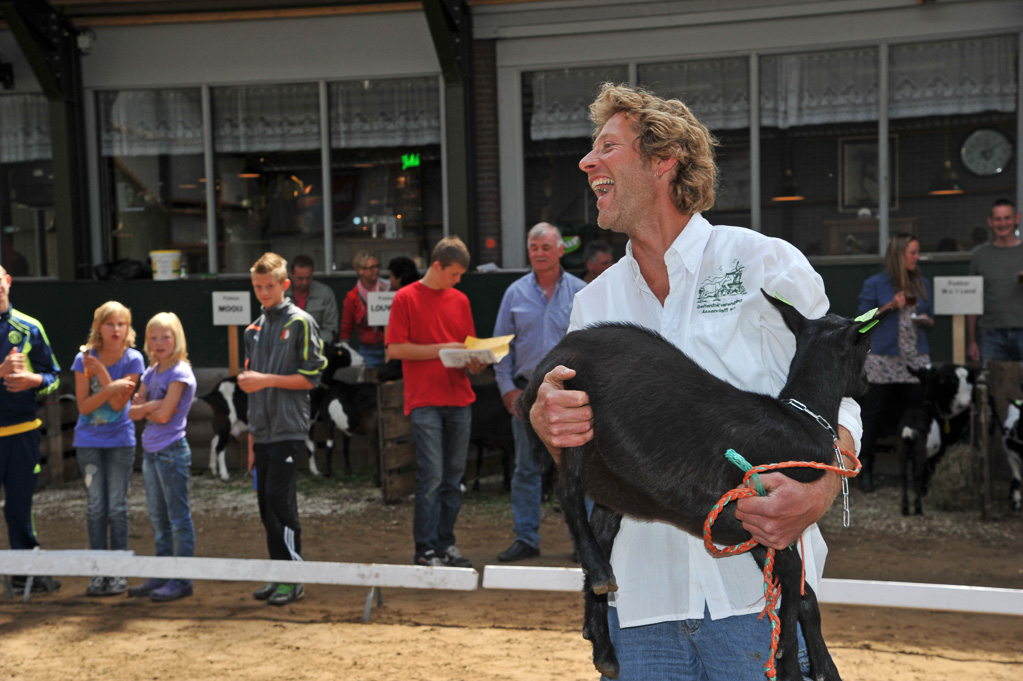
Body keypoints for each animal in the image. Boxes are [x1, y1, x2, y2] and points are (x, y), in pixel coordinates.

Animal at [199, 339, 364, 476]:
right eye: (340, 352)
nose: (362, 359)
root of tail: (214, 392)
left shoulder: (309, 422)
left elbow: (311, 447)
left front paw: (315, 471)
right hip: (226, 421)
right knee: (220, 447)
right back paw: (224, 475)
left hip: (224, 424)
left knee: (214, 442)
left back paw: (214, 470)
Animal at [519, 290, 887, 678]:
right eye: (866, 346)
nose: (867, 385)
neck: (802, 418)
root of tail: (551, 358)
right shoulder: (763, 513)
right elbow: (795, 585)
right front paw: (790, 662)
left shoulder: (758, 527)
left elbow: (802, 594)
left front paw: (820, 666)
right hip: (573, 407)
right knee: (569, 491)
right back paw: (602, 574)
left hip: (613, 485)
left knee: (601, 531)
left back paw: (602, 642)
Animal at [896, 366, 973, 515]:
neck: (927, 407)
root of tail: (909, 430)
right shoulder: (936, 453)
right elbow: (927, 473)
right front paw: (925, 492)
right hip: (920, 452)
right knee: (918, 474)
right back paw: (918, 508)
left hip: (903, 452)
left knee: (903, 476)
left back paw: (905, 508)